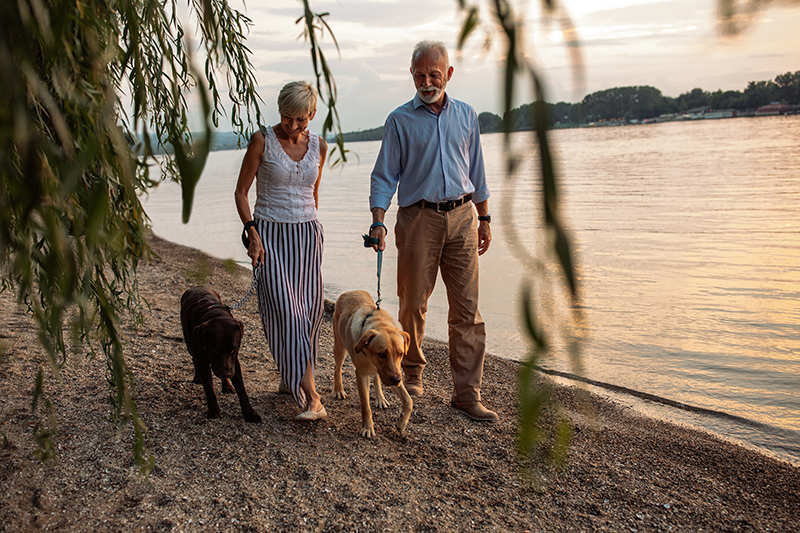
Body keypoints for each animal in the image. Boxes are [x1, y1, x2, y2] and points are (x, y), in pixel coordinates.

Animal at [180, 284, 260, 422]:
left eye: (233, 349)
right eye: (214, 350)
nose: (227, 373)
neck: (215, 314)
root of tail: (197, 286)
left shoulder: (234, 362)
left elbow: (241, 389)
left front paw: (250, 414)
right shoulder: (202, 361)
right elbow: (209, 389)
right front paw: (214, 411)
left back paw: (226, 385)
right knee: (193, 359)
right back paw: (198, 377)